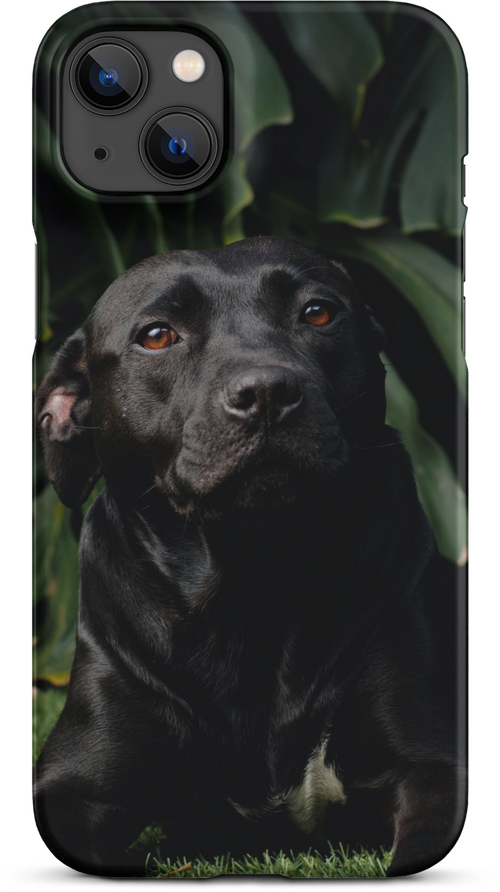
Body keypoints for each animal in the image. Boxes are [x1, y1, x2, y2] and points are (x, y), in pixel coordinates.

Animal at [31, 237, 464, 880]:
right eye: (156, 335)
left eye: (318, 312)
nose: (266, 393)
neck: (250, 588)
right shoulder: (74, 784)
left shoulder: (431, 763)